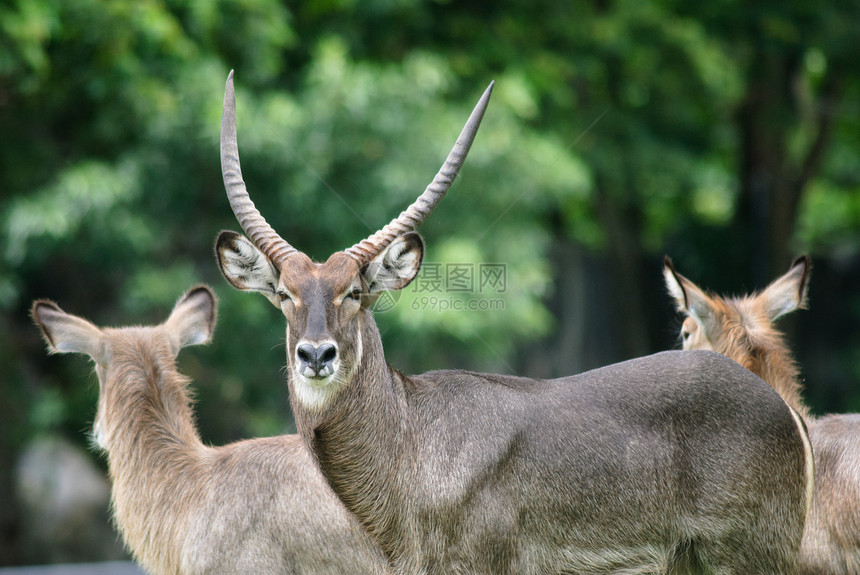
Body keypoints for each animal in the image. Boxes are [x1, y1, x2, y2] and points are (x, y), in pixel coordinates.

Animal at [213, 73, 812, 575]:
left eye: (355, 292)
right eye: (284, 295)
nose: (316, 355)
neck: (411, 442)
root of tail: (785, 410)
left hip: (750, 556)